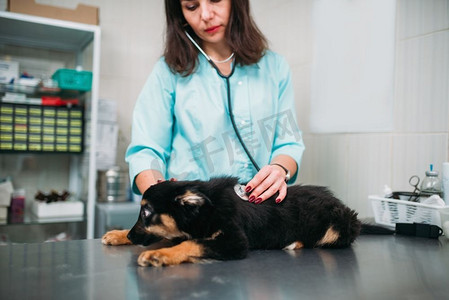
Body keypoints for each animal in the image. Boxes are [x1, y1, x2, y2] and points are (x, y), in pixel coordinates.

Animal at [101, 177, 364, 266]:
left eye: (147, 213)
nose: (131, 236)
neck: (207, 208)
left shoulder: (235, 241)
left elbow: (192, 243)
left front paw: (161, 255)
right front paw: (117, 234)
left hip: (339, 224)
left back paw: (293, 243)